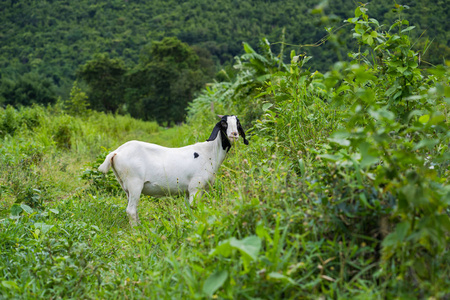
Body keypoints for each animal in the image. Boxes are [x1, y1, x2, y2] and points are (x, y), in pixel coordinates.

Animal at [98, 115, 250, 225]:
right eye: (224, 123)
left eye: (238, 123)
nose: (234, 134)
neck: (210, 152)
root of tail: (116, 152)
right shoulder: (196, 187)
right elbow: (195, 208)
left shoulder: (189, 191)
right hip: (134, 183)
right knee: (130, 210)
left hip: (126, 186)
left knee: (133, 209)